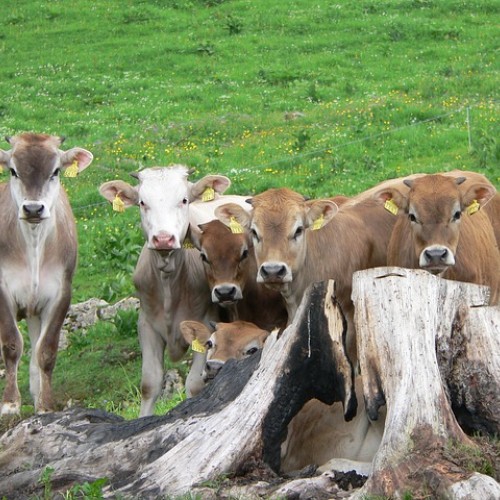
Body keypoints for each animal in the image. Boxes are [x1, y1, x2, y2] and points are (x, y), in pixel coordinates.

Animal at [0, 133, 93, 414]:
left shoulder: (60, 293)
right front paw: (10, 404)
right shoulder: (1, 289)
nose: (32, 209)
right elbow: (11, 344)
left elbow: (46, 350)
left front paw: (44, 404)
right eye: (13, 170)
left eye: (55, 171)